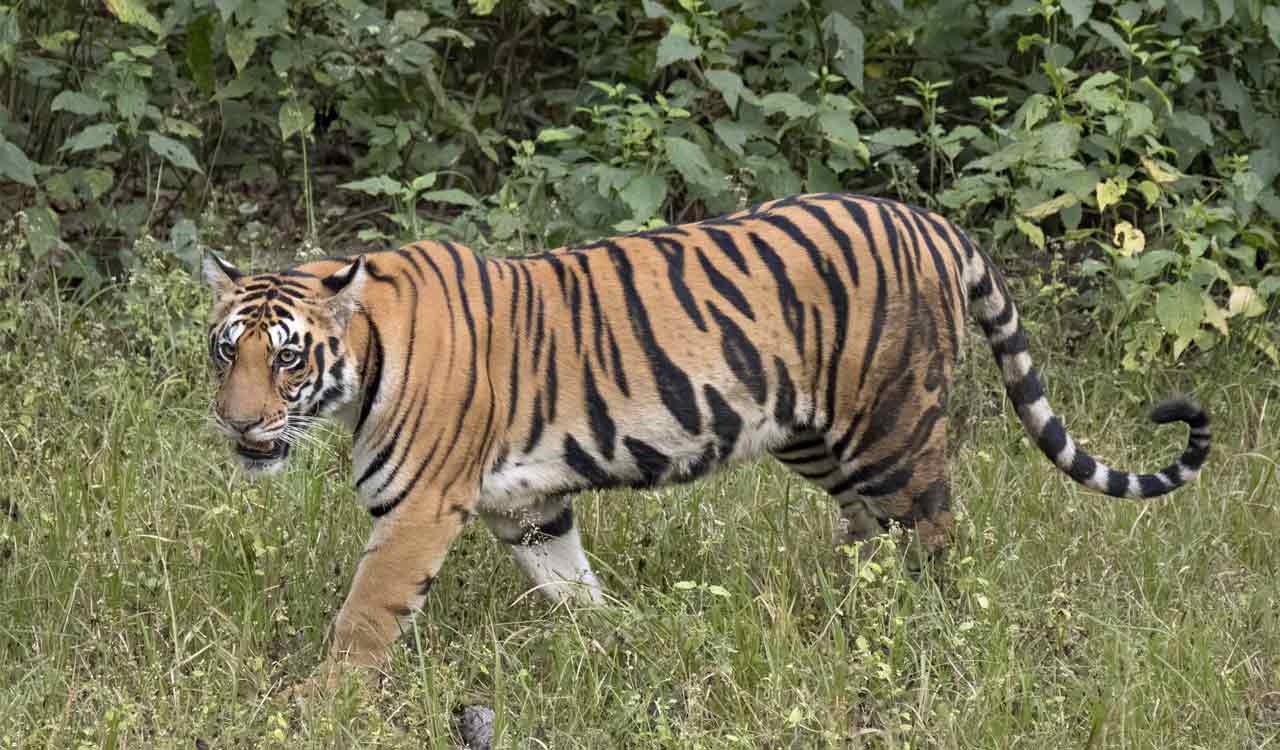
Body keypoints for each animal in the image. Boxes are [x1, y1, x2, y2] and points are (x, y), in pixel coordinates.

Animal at [201, 192, 1210, 679]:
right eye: (224, 351)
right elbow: (571, 585)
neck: (362, 364)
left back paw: (929, 629)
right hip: (815, 435)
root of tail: (931, 221)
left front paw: (325, 704)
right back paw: (847, 609)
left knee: (934, 535)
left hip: (892, 427)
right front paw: (619, 639)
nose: (238, 423)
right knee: (868, 531)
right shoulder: (528, 506)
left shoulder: (417, 509)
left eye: (287, 359)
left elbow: (365, 614)